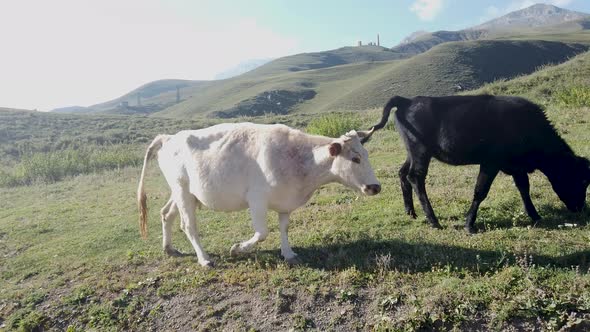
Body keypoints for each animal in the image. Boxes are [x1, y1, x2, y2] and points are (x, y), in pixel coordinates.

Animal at [137, 122, 382, 268]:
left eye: (366, 154)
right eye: (355, 159)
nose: (375, 187)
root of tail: (168, 138)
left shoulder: (285, 201)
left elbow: (284, 228)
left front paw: (288, 253)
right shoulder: (256, 199)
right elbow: (262, 233)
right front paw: (237, 249)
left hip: (183, 192)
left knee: (166, 214)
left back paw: (169, 248)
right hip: (182, 191)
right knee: (188, 226)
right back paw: (204, 259)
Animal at [368, 94, 590, 232]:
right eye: (582, 181)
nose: (580, 208)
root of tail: (408, 100)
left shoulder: (516, 166)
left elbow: (524, 188)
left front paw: (535, 216)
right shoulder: (491, 163)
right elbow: (480, 191)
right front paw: (469, 224)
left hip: (412, 152)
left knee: (402, 174)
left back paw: (411, 212)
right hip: (421, 152)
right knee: (415, 178)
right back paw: (433, 220)